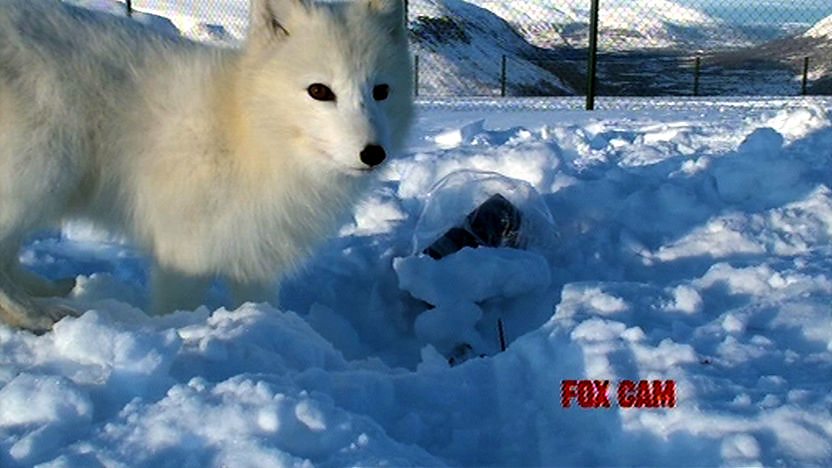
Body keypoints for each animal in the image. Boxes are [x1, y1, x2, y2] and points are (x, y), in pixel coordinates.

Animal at [0, 0, 414, 331]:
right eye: (319, 91)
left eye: (381, 91)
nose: (373, 153)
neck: (248, 130)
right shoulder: (184, 254)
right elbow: (177, 308)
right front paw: (177, 334)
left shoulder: (258, 259)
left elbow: (259, 304)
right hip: (43, 172)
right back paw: (38, 314)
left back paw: (44, 289)